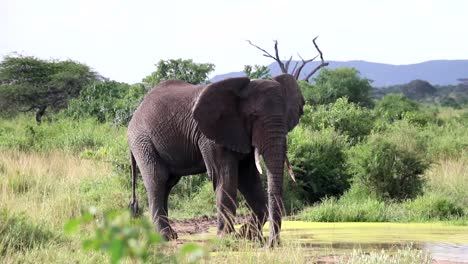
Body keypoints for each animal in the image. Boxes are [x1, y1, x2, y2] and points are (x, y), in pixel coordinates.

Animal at [128, 73, 304, 246]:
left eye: (286, 117)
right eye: (253, 116)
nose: (273, 244)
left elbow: (248, 178)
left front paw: (245, 236)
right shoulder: (211, 136)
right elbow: (224, 177)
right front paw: (227, 238)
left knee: (168, 183)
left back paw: (171, 235)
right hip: (142, 140)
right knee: (157, 179)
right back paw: (164, 237)